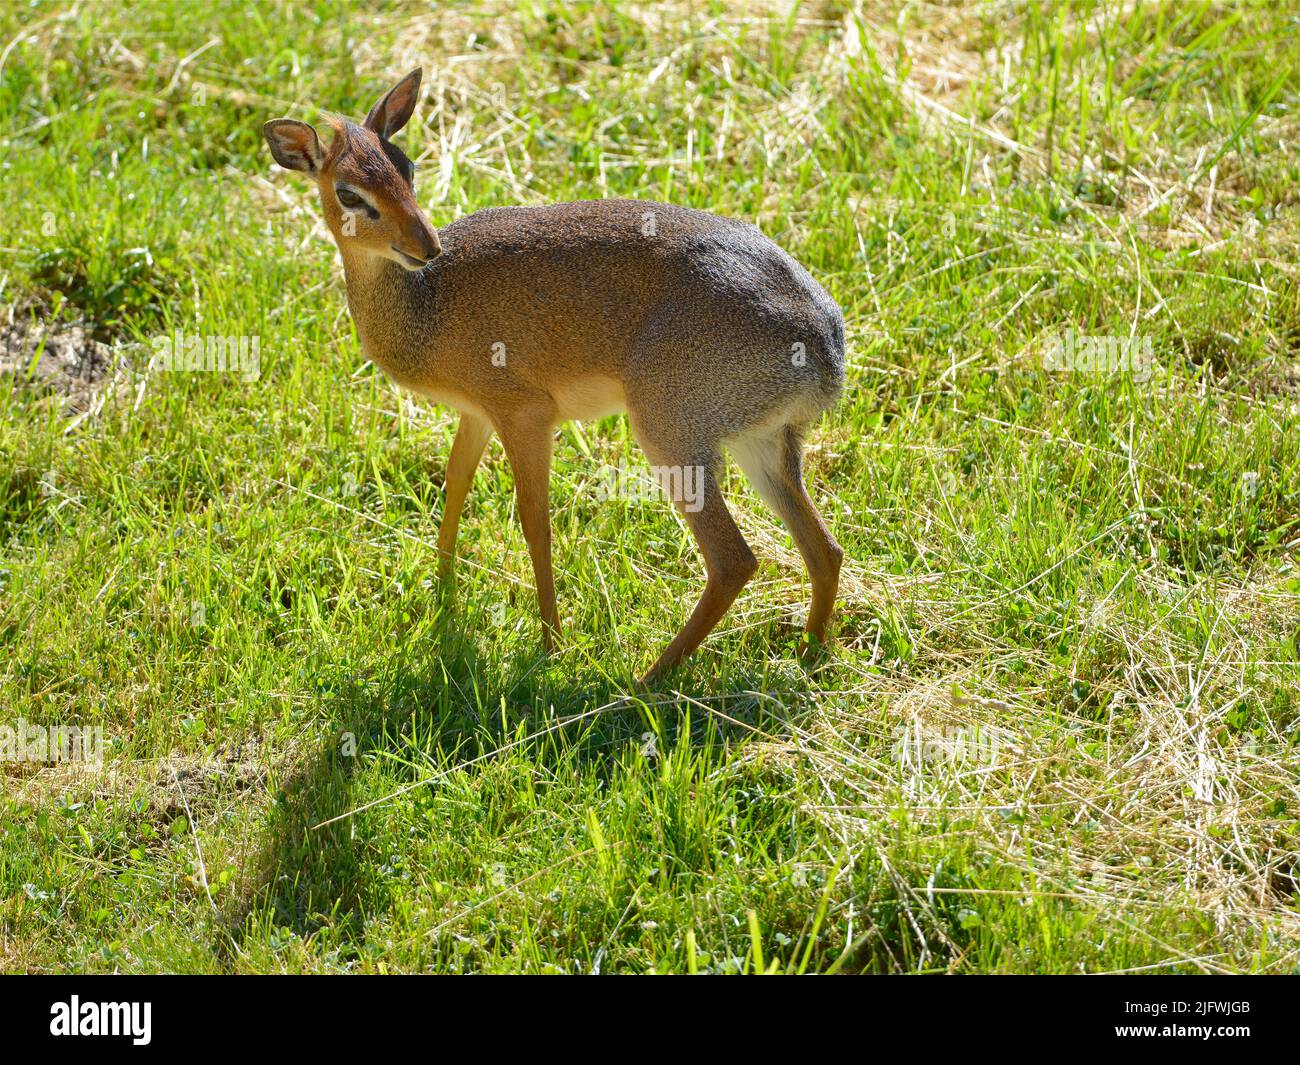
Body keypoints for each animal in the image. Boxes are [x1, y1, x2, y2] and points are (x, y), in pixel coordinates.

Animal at [269, 68, 847, 681]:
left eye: (407, 167)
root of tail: (825, 341)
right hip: (764, 444)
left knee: (735, 559)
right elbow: (455, 486)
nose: (427, 246)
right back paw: (808, 654)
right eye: (350, 191)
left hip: (670, 436)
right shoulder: (478, 413)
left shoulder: (526, 414)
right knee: (824, 548)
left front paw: (550, 643)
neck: (426, 306)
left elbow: (534, 520)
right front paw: (440, 598)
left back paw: (646, 677)